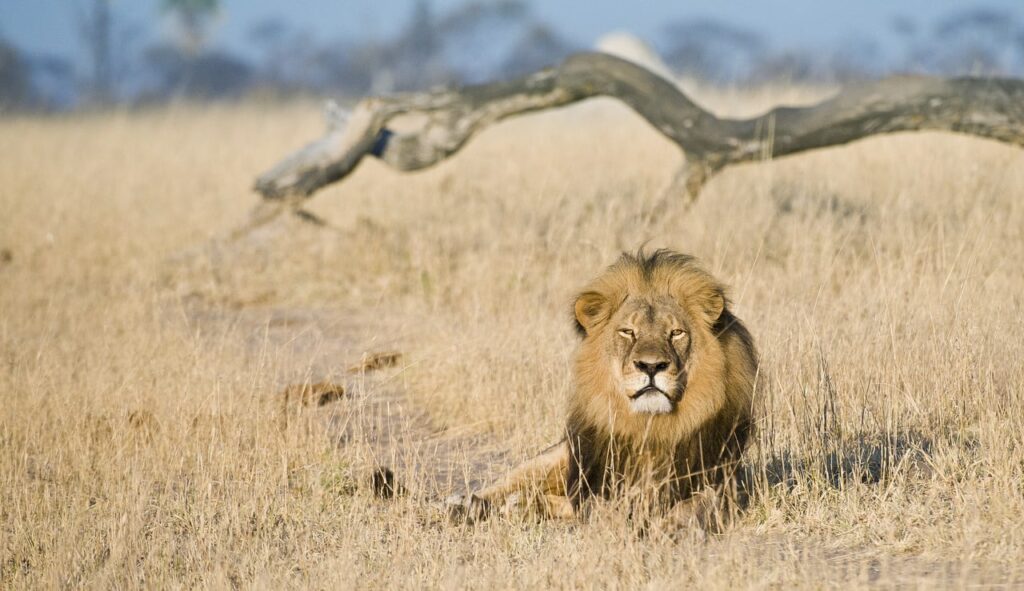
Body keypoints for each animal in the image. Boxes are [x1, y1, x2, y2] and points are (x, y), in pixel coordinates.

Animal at [449, 249, 758, 528]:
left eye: (676, 333)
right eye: (628, 332)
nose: (651, 366)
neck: (651, 428)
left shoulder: (719, 483)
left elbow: (699, 504)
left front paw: (674, 525)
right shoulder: (599, 482)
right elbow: (604, 507)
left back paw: (521, 506)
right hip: (557, 456)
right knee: (508, 484)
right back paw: (468, 505)